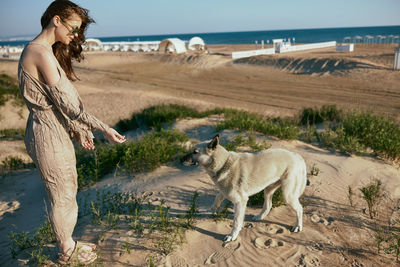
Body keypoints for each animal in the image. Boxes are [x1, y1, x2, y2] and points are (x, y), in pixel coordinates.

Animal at [182, 135, 310, 242]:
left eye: (195, 152)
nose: (180, 159)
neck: (224, 164)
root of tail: (297, 156)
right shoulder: (224, 192)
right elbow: (216, 200)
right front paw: (213, 211)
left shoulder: (240, 201)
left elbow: (236, 222)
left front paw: (232, 236)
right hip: (268, 190)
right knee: (268, 205)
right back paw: (259, 217)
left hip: (288, 195)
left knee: (299, 208)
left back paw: (298, 226)